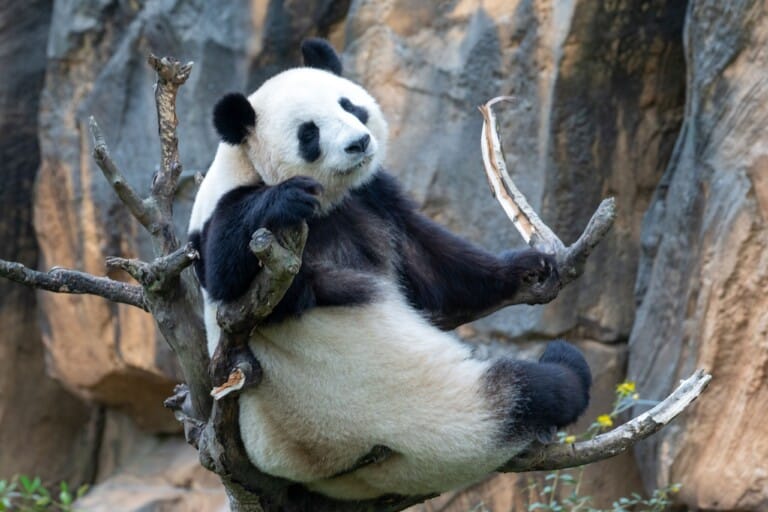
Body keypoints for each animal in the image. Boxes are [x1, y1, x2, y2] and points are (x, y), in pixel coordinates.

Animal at [187, 38, 591, 500]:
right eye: (309, 133)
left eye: (349, 105)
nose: (359, 142)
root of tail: (345, 475)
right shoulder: (228, 215)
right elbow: (223, 272)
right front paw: (285, 199)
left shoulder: (371, 196)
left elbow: (431, 264)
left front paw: (528, 269)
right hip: (425, 421)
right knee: (535, 389)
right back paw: (561, 364)